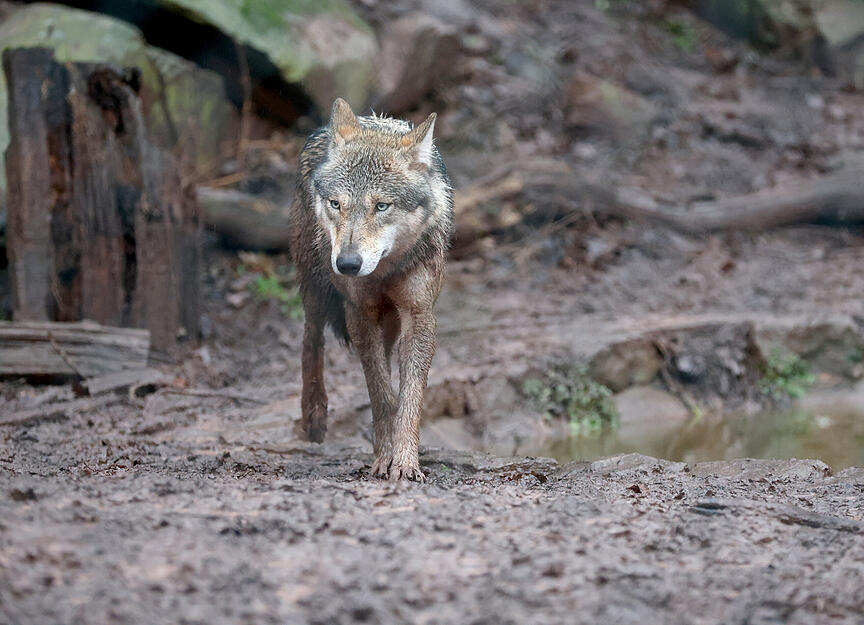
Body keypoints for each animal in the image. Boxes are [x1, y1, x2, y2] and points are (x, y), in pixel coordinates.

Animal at [288, 98, 454, 481]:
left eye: (381, 206)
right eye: (336, 204)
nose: (348, 264)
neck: (384, 271)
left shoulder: (418, 316)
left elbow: (408, 398)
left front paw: (405, 462)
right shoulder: (360, 313)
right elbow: (381, 394)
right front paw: (384, 457)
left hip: (389, 323)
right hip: (316, 285)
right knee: (311, 338)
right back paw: (314, 416)